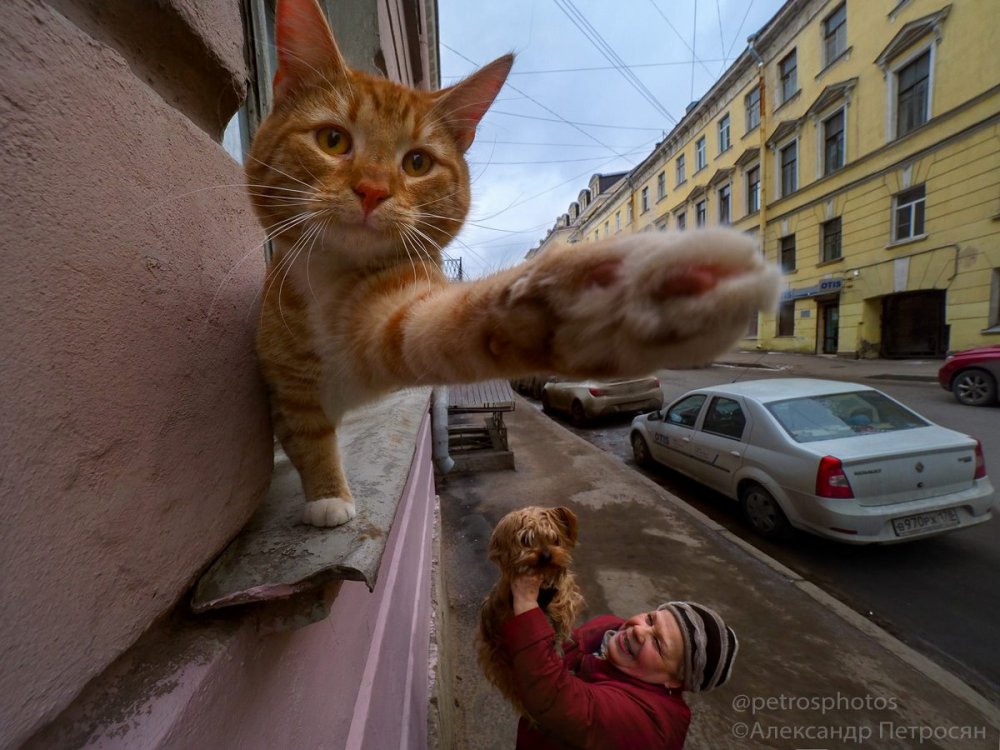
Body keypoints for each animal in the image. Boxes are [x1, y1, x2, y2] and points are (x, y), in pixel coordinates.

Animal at [248, 0, 780, 528]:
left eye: (417, 163)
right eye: (332, 140)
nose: (373, 190)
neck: (331, 281)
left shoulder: (397, 318)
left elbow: (455, 322)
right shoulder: (290, 391)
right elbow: (307, 437)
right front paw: (327, 495)